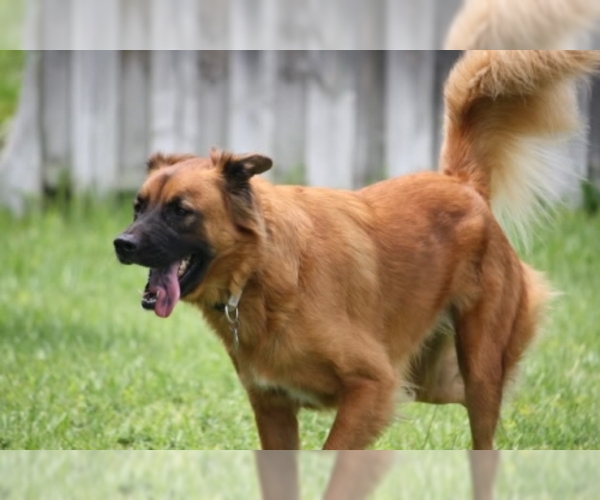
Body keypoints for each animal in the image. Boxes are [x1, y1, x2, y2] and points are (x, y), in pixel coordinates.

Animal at [113, 50, 600, 450]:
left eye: (181, 211)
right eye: (139, 206)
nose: (122, 244)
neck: (260, 272)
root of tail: (460, 184)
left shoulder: (375, 386)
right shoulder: (274, 407)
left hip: (476, 364)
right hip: (429, 378)